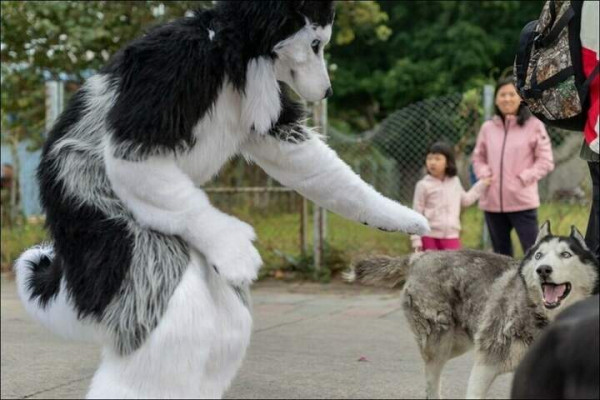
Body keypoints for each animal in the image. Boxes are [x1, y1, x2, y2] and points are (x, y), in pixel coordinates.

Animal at [14, 1, 426, 398]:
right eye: (315, 44)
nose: (327, 93)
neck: (234, 54)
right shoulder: (172, 72)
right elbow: (138, 164)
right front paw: (235, 249)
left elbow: (312, 167)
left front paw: (401, 216)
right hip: (95, 207)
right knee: (178, 311)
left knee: (225, 325)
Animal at [346, 223, 600, 398]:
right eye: (539, 255)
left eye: (565, 254)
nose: (543, 269)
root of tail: (420, 257)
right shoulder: (486, 363)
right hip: (439, 344)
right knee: (431, 383)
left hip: (459, 343)